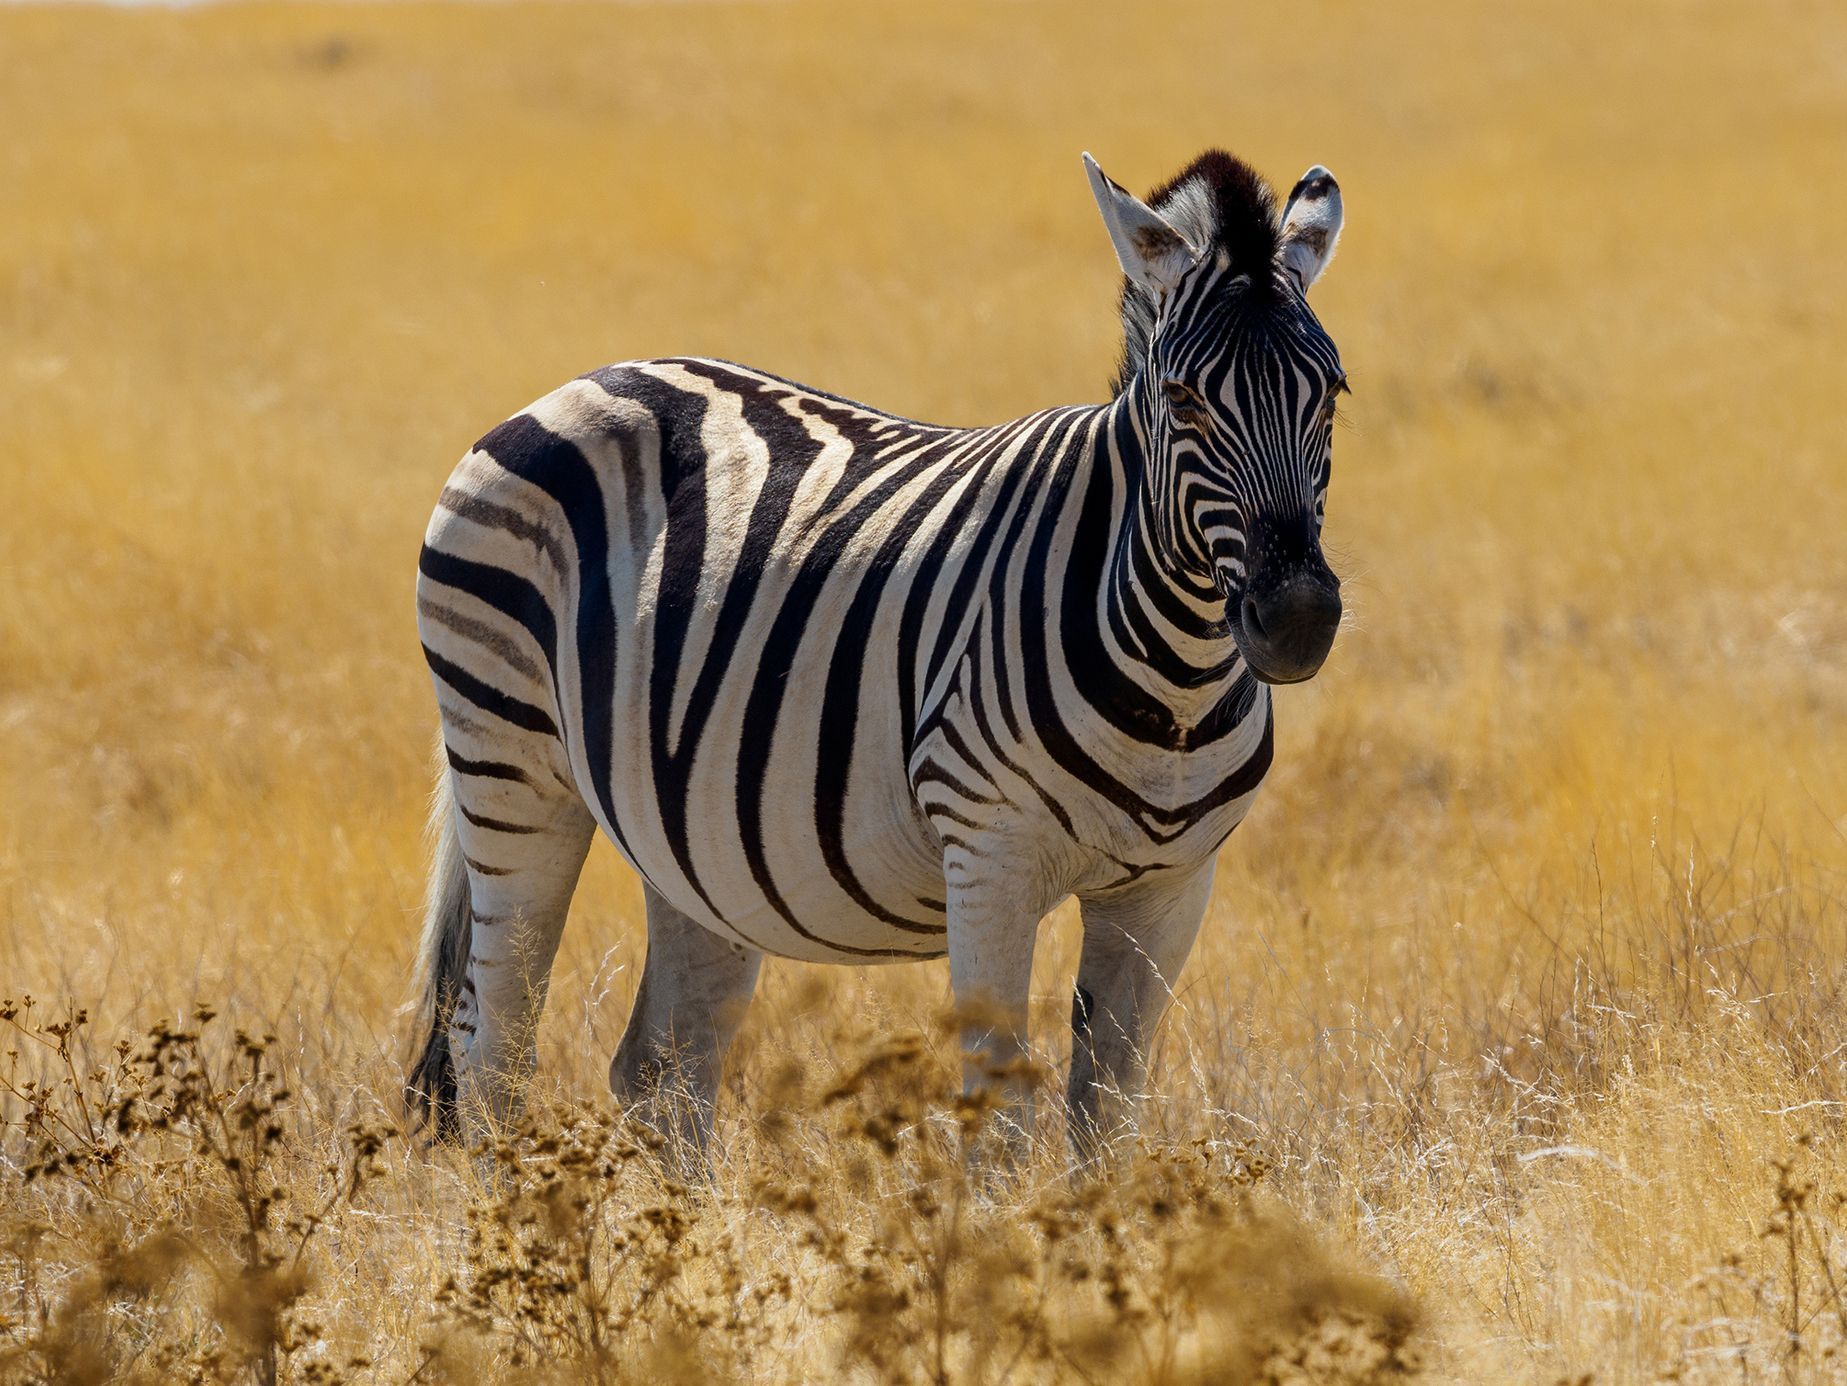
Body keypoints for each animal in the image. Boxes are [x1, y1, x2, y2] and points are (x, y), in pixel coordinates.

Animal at [411, 149, 1352, 1160]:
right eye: (1182, 399)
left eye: (1332, 393)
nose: (1296, 619)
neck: (1170, 689)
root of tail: (588, 380)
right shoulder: (988, 855)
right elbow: (1002, 1115)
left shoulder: (1171, 889)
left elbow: (1107, 1115)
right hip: (509, 761)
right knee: (491, 1047)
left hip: (686, 841)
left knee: (663, 1069)